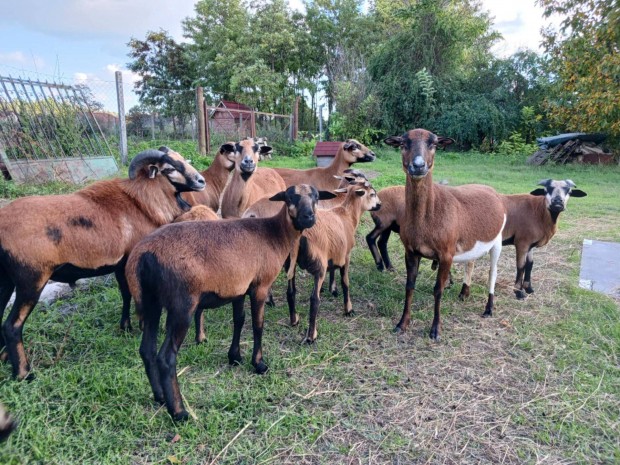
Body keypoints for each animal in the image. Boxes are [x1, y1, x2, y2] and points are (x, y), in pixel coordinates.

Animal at [0, 147, 205, 378]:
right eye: (169, 168)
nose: (201, 181)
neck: (141, 203)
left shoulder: (120, 265)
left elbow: (125, 294)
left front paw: (125, 327)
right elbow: (136, 295)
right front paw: (141, 326)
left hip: (5, 280)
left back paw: (5, 358)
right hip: (31, 281)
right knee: (11, 326)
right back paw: (24, 374)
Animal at [286, 179, 382, 342]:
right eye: (372, 194)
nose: (380, 205)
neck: (348, 215)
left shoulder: (334, 253)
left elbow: (333, 270)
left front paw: (332, 289)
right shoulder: (346, 255)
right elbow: (345, 282)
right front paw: (348, 309)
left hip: (289, 264)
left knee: (290, 292)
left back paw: (294, 320)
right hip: (319, 265)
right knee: (314, 299)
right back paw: (311, 336)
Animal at [386, 129, 506, 338]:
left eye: (433, 143)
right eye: (402, 143)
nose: (418, 166)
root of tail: (490, 189)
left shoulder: (446, 254)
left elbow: (438, 290)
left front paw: (435, 330)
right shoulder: (411, 251)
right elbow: (409, 286)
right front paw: (402, 324)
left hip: (497, 240)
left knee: (493, 272)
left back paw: (488, 309)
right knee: (470, 262)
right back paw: (464, 293)